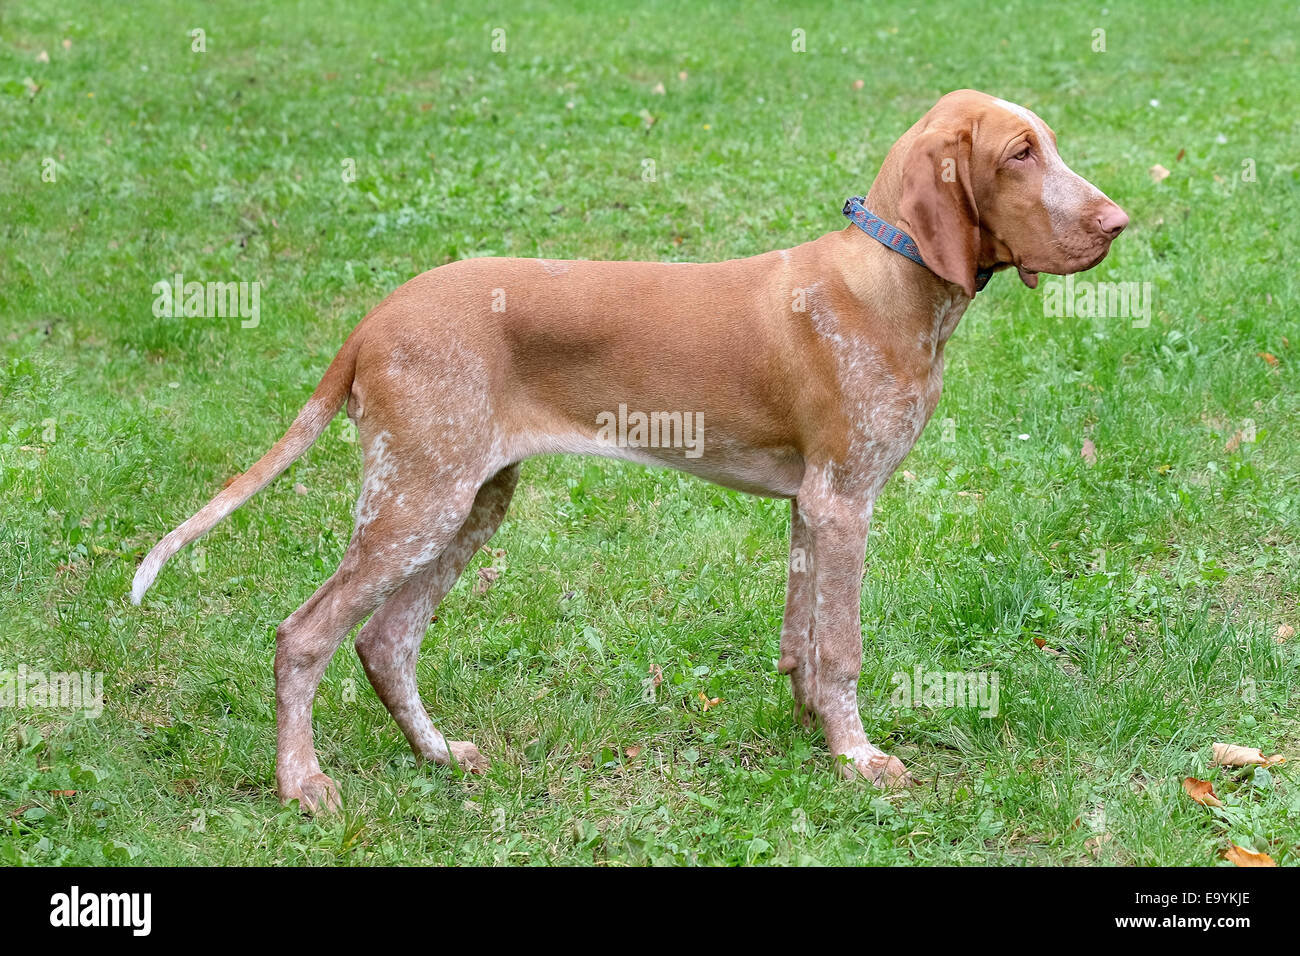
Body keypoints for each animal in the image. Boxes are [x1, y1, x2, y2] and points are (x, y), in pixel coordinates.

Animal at [134, 89, 1128, 811]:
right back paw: (302, 785)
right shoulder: (845, 500)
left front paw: (815, 737)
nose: (1118, 222)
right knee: (305, 636)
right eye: (1019, 155)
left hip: (469, 500)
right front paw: (857, 758)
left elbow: (803, 646)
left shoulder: (811, 505)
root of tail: (374, 319)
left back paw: (438, 755)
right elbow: (841, 649)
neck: (888, 278)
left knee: (385, 640)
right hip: (417, 500)